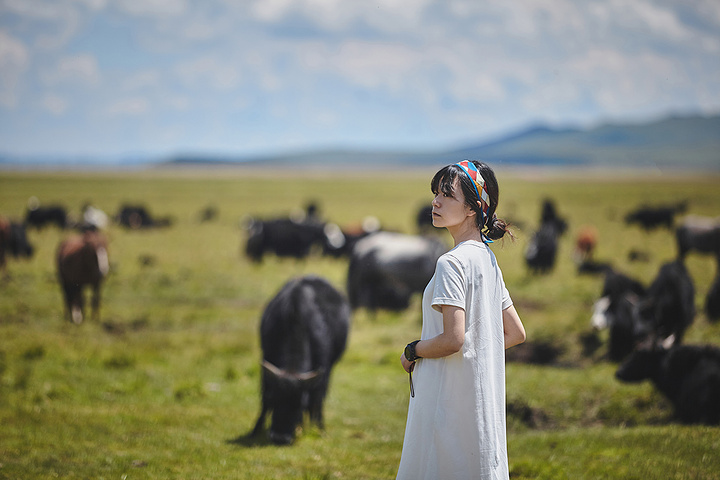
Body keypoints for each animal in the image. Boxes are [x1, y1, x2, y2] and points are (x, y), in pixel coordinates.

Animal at [250, 276, 352, 444]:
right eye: (275, 399)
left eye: (300, 404)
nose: (280, 438)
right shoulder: (267, 360)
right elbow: (264, 399)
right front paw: (254, 431)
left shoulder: (323, 370)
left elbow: (316, 400)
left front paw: (319, 429)